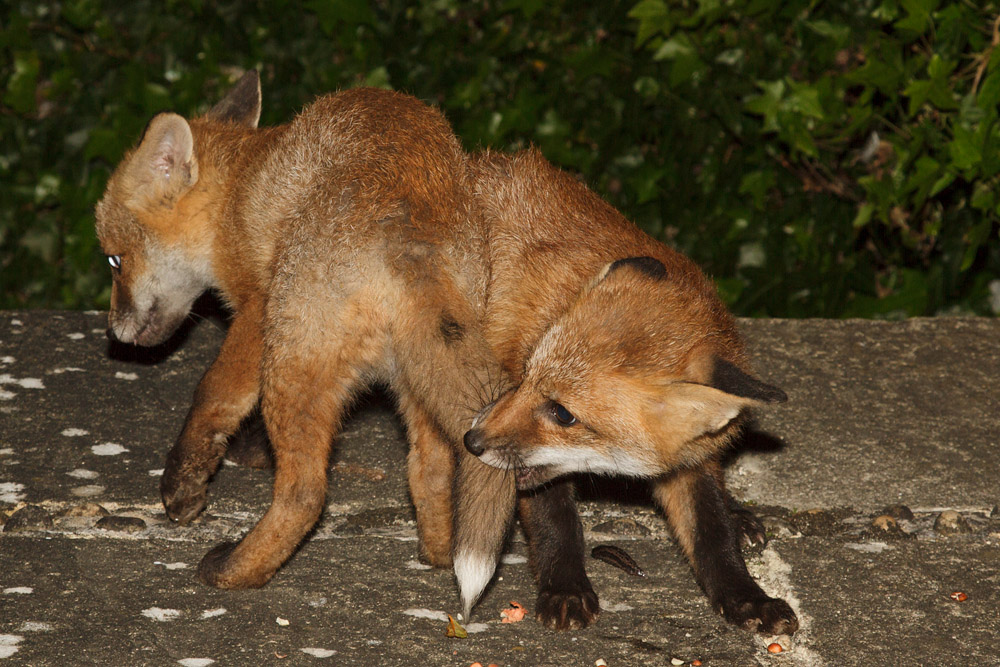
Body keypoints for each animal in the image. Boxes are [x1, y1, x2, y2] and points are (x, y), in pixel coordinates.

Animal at [95, 70, 798, 635]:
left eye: (113, 260)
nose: (118, 335)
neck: (246, 184)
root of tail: (410, 233)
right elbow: (676, 530)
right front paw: (736, 599)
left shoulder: (256, 307)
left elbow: (213, 395)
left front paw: (184, 484)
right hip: (423, 375)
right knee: (430, 469)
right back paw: (439, 545)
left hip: (305, 356)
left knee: (306, 491)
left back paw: (237, 569)